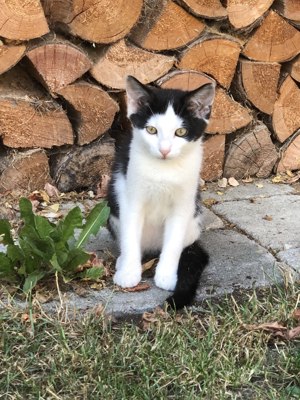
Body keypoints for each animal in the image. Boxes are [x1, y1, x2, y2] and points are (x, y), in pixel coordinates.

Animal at [106, 76, 214, 310]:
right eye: (151, 130)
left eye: (180, 132)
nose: (164, 150)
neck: (163, 170)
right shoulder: (131, 196)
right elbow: (130, 236)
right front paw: (129, 272)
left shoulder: (184, 203)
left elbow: (173, 243)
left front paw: (166, 276)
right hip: (112, 206)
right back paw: (123, 260)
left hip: (194, 219)